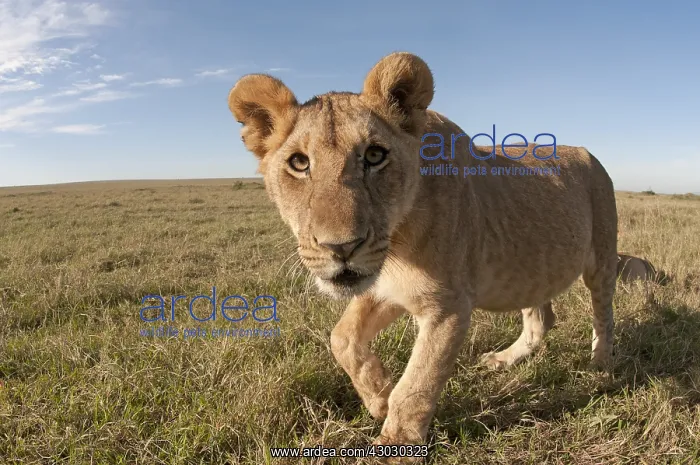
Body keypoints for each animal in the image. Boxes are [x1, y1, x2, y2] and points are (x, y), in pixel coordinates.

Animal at [228, 52, 618, 457]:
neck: (398, 243)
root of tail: (589, 153)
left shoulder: (447, 306)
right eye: (300, 163)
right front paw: (379, 399)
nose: (342, 247)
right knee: (541, 318)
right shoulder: (385, 286)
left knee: (603, 313)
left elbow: (418, 383)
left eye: (374, 155)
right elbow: (342, 338)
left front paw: (393, 445)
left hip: (602, 255)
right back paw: (503, 360)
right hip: (533, 271)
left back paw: (602, 368)